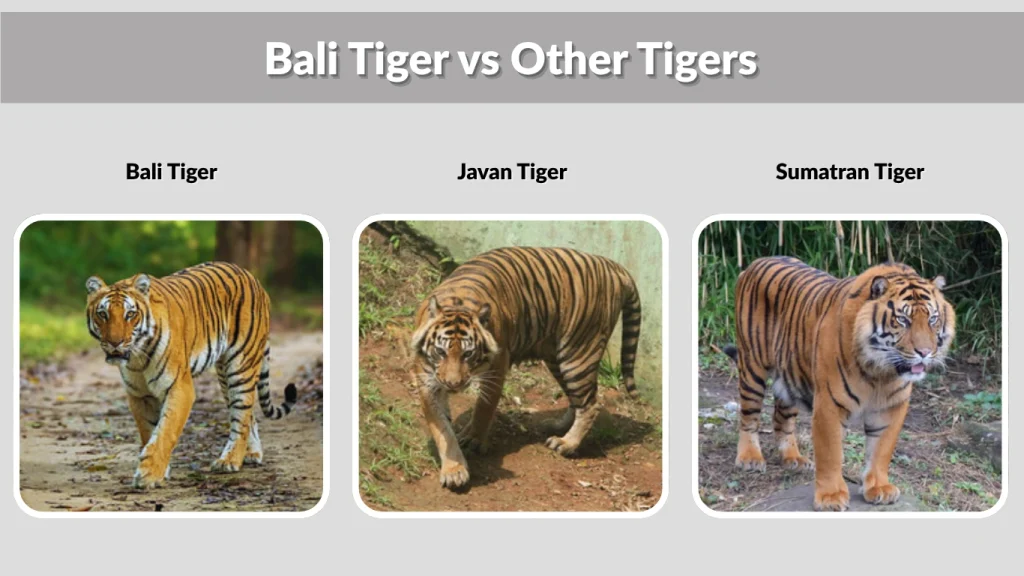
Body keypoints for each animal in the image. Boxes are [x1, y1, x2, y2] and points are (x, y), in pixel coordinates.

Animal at [85, 261, 297, 489]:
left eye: (130, 314)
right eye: (103, 314)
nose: (115, 343)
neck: (137, 357)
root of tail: (252, 277)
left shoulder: (179, 387)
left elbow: (166, 431)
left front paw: (149, 474)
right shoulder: (140, 395)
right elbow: (149, 431)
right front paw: (160, 469)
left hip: (241, 365)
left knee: (241, 415)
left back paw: (229, 460)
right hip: (224, 375)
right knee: (248, 414)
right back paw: (251, 453)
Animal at [409, 247, 642, 490]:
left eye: (468, 354)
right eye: (440, 352)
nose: (453, 384)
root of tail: (614, 266)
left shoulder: (497, 367)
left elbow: (483, 408)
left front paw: (473, 439)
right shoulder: (427, 381)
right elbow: (441, 428)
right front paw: (454, 469)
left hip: (578, 353)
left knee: (591, 404)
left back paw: (566, 443)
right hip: (557, 358)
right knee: (577, 399)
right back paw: (556, 426)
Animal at [723, 256, 955, 511]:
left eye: (933, 319)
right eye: (903, 320)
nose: (925, 352)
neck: (881, 372)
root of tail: (754, 263)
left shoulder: (891, 407)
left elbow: (881, 450)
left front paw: (879, 488)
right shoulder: (829, 405)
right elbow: (831, 453)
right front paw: (831, 497)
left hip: (790, 377)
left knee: (781, 418)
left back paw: (793, 459)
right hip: (752, 368)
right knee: (749, 416)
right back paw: (750, 458)